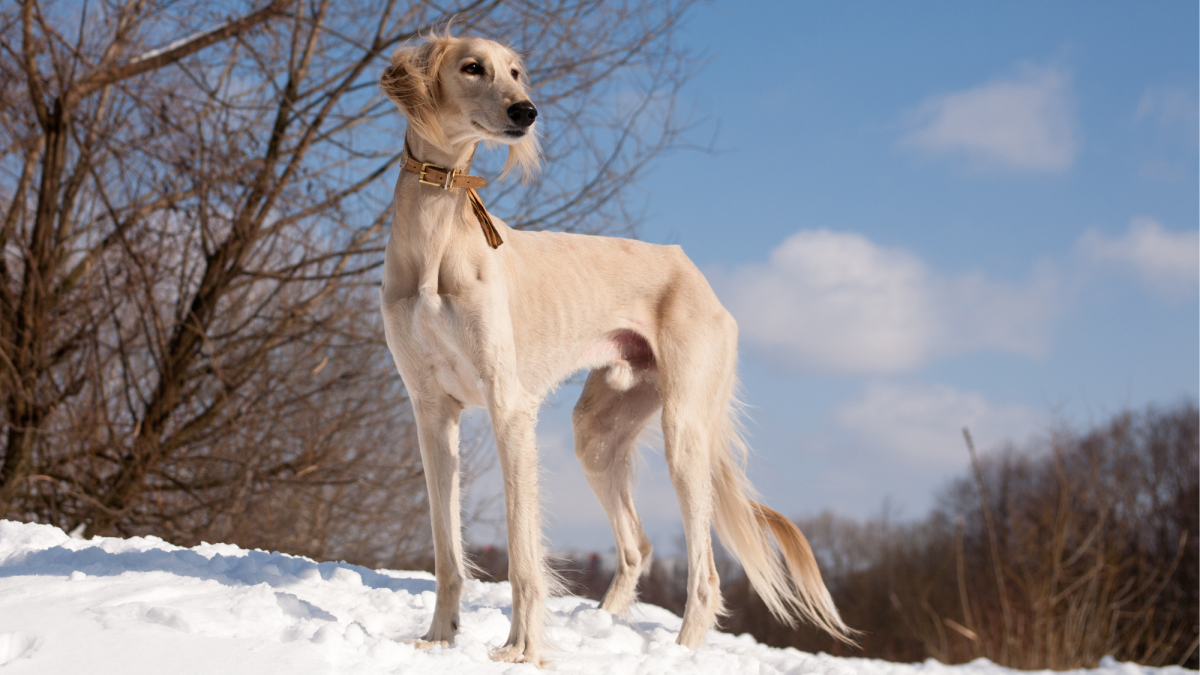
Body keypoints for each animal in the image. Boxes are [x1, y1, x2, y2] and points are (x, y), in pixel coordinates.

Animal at [376, 35, 854, 662]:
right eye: (472, 67)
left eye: (516, 72)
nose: (526, 112)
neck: (437, 239)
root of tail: (697, 274)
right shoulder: (432, 413)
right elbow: (446, 549)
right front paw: (438, 638)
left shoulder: (509, 407)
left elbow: (524, 553)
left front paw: (523, 650)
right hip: (598, 434)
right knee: (638, 546)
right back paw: (606, 624)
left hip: (685, 432)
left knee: (705, 575)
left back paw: (680, 653)